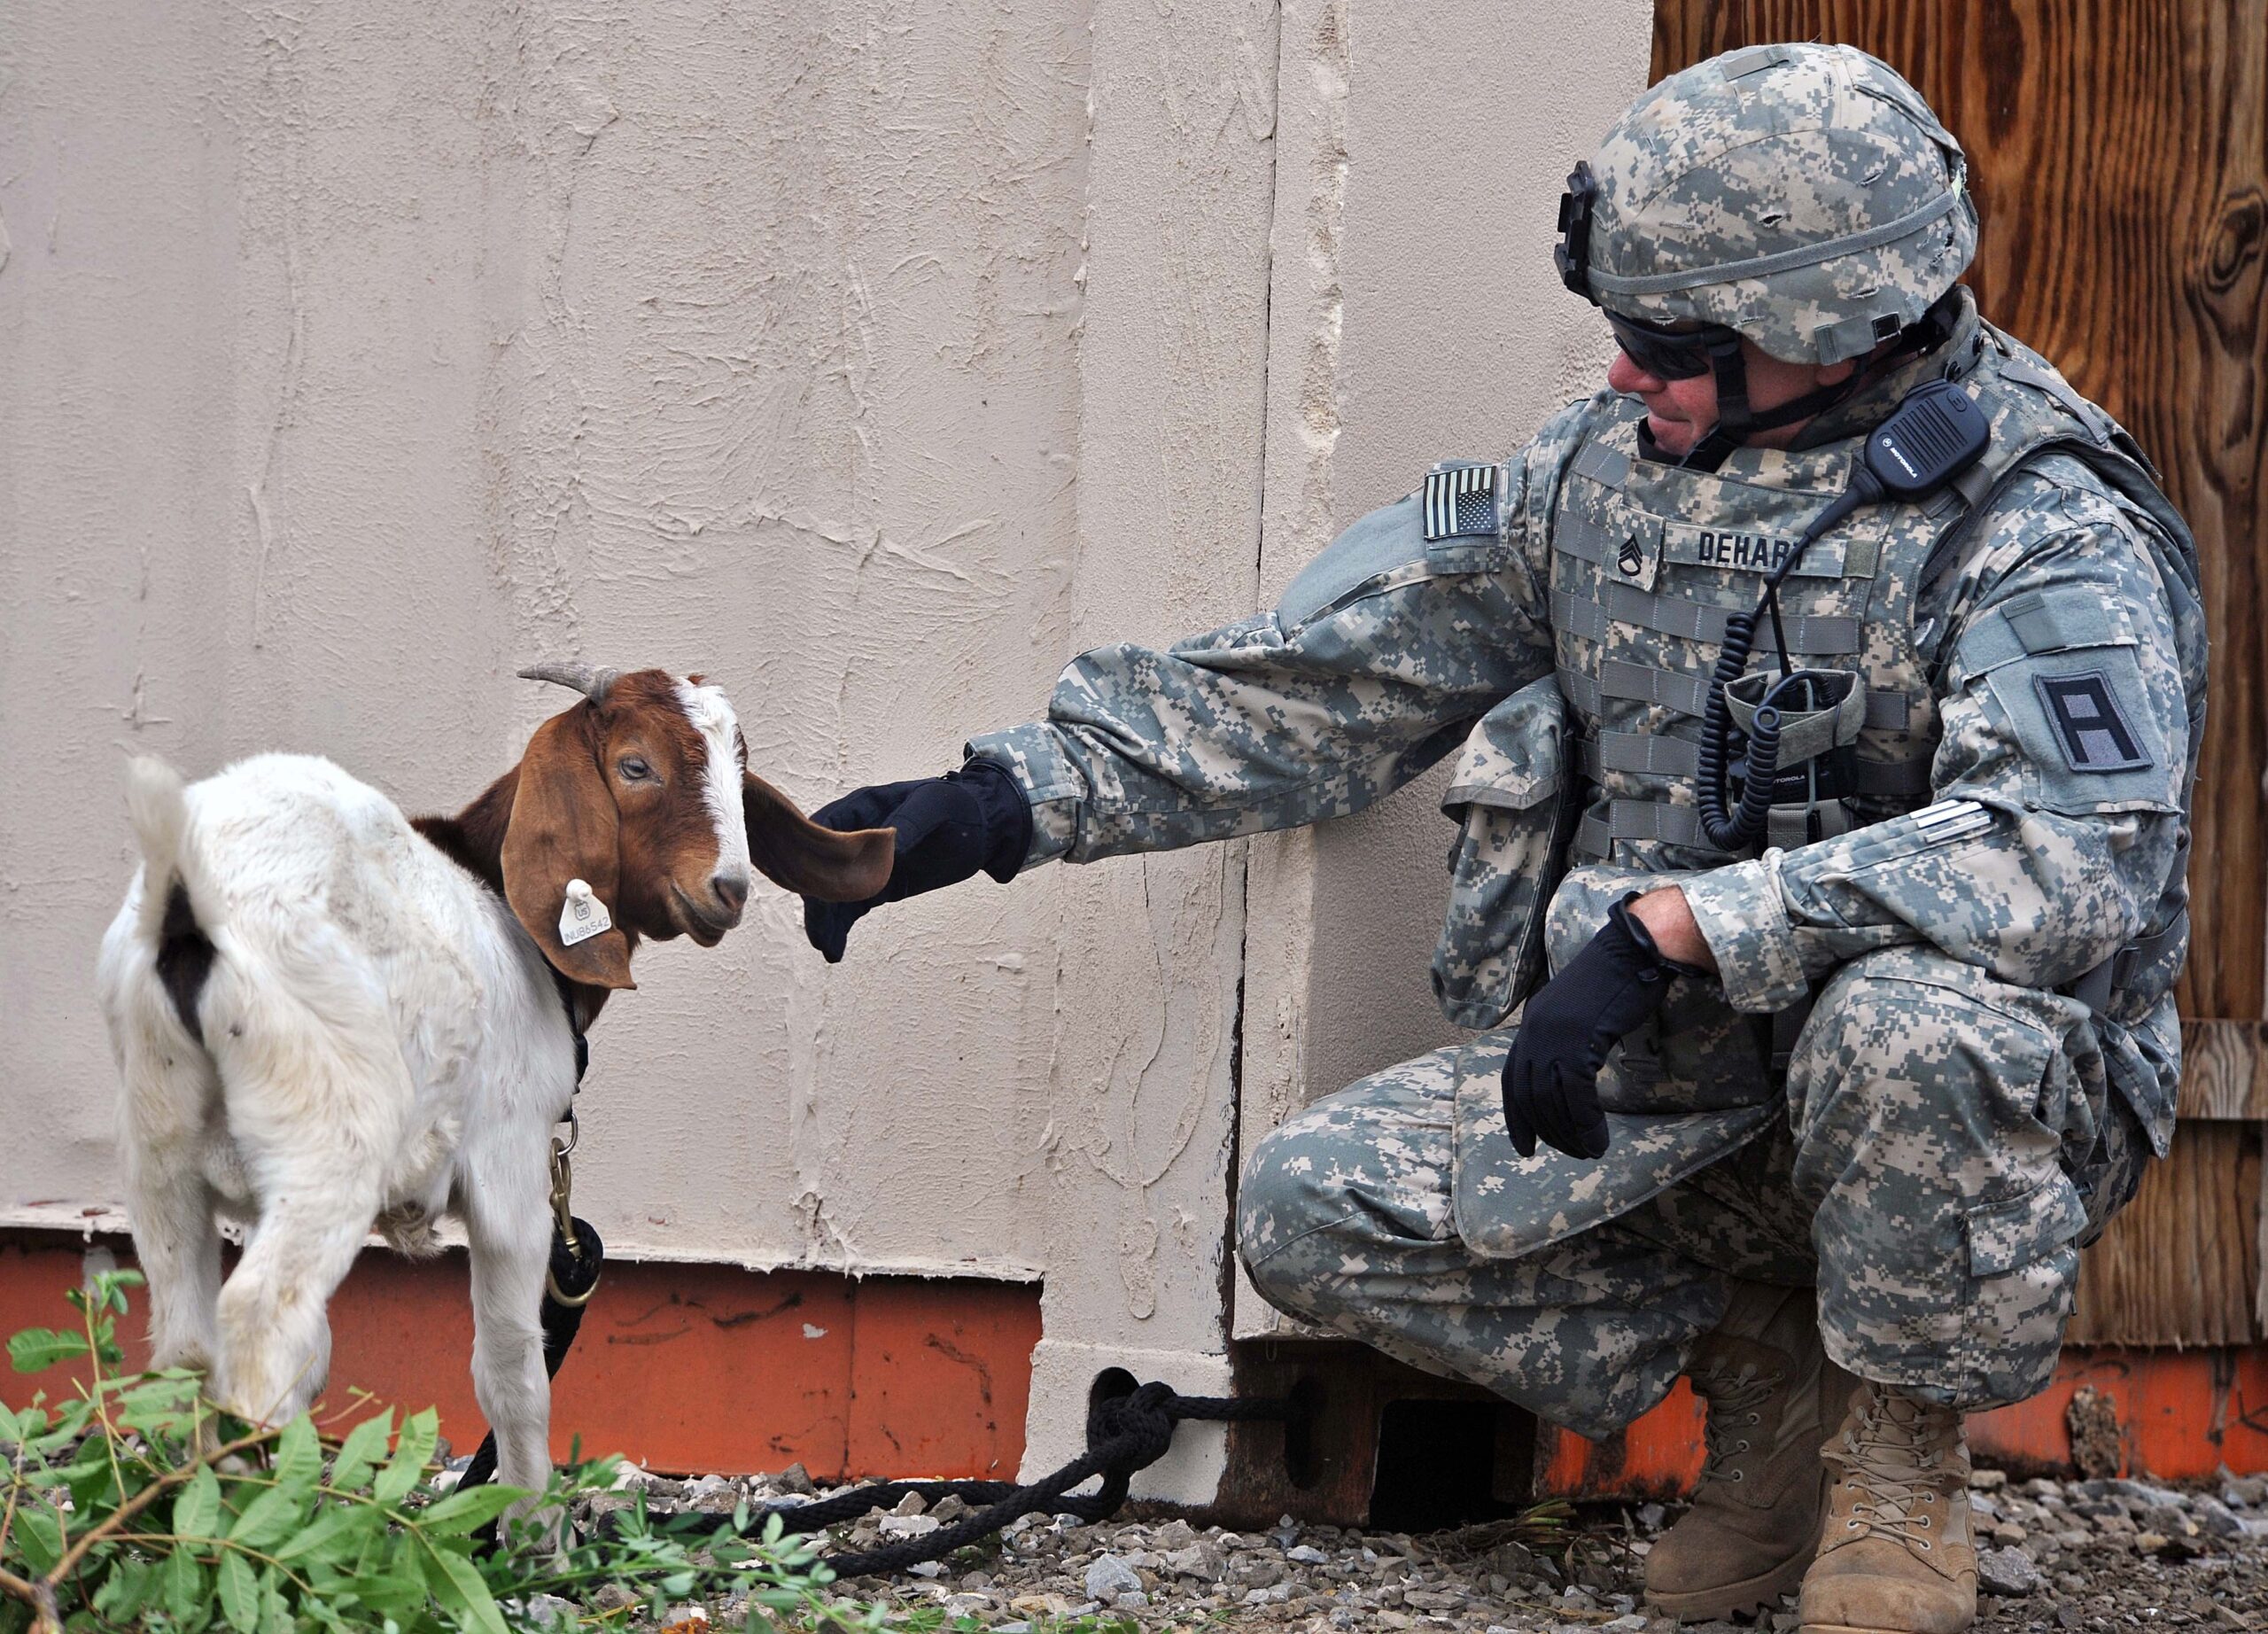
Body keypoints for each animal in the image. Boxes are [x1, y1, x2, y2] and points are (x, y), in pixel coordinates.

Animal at [97, 662, 893, 1506]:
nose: (730, 889)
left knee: (186, 1350)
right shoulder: (509, 1167)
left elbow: (315, 1357)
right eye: (635, 766)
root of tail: (191, 903)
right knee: (256, 1323)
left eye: (738, 770)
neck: (507, 914)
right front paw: (524, 1519)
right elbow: (514, 1370)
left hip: (159, 1147)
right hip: (326, 1140)